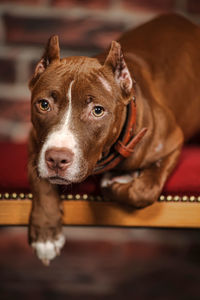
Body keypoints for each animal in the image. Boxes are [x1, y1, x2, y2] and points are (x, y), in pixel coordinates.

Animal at [27, 14, 200, 264]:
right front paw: (46, 236)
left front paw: (118, 181)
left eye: (98, 111)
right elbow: (40, 181)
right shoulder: (35, 143)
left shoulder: (172, 142)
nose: (57, 159)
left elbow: (145, 189)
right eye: (43, 105)